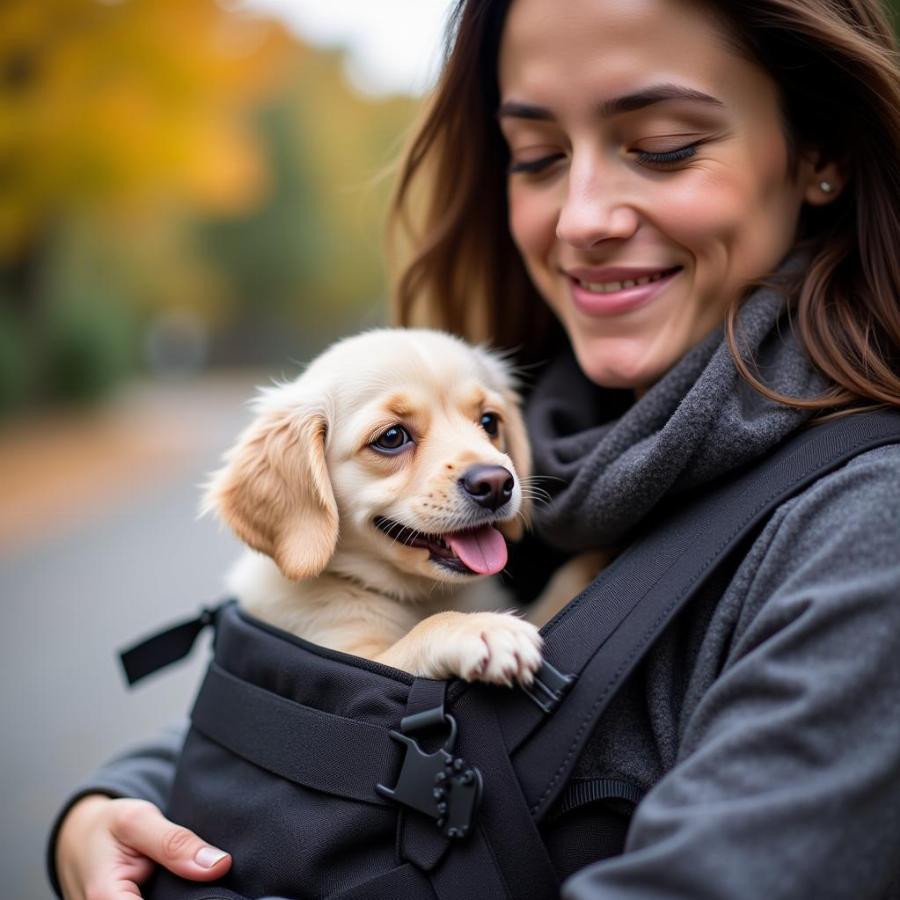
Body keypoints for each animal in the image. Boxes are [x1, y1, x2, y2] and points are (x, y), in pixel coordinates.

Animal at [203, 326, 540, 684]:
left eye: (490, 422)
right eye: (392, 437)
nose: (496, 485)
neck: (421, 597)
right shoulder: (350, 658)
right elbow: (425, 629)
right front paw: (481, 628)